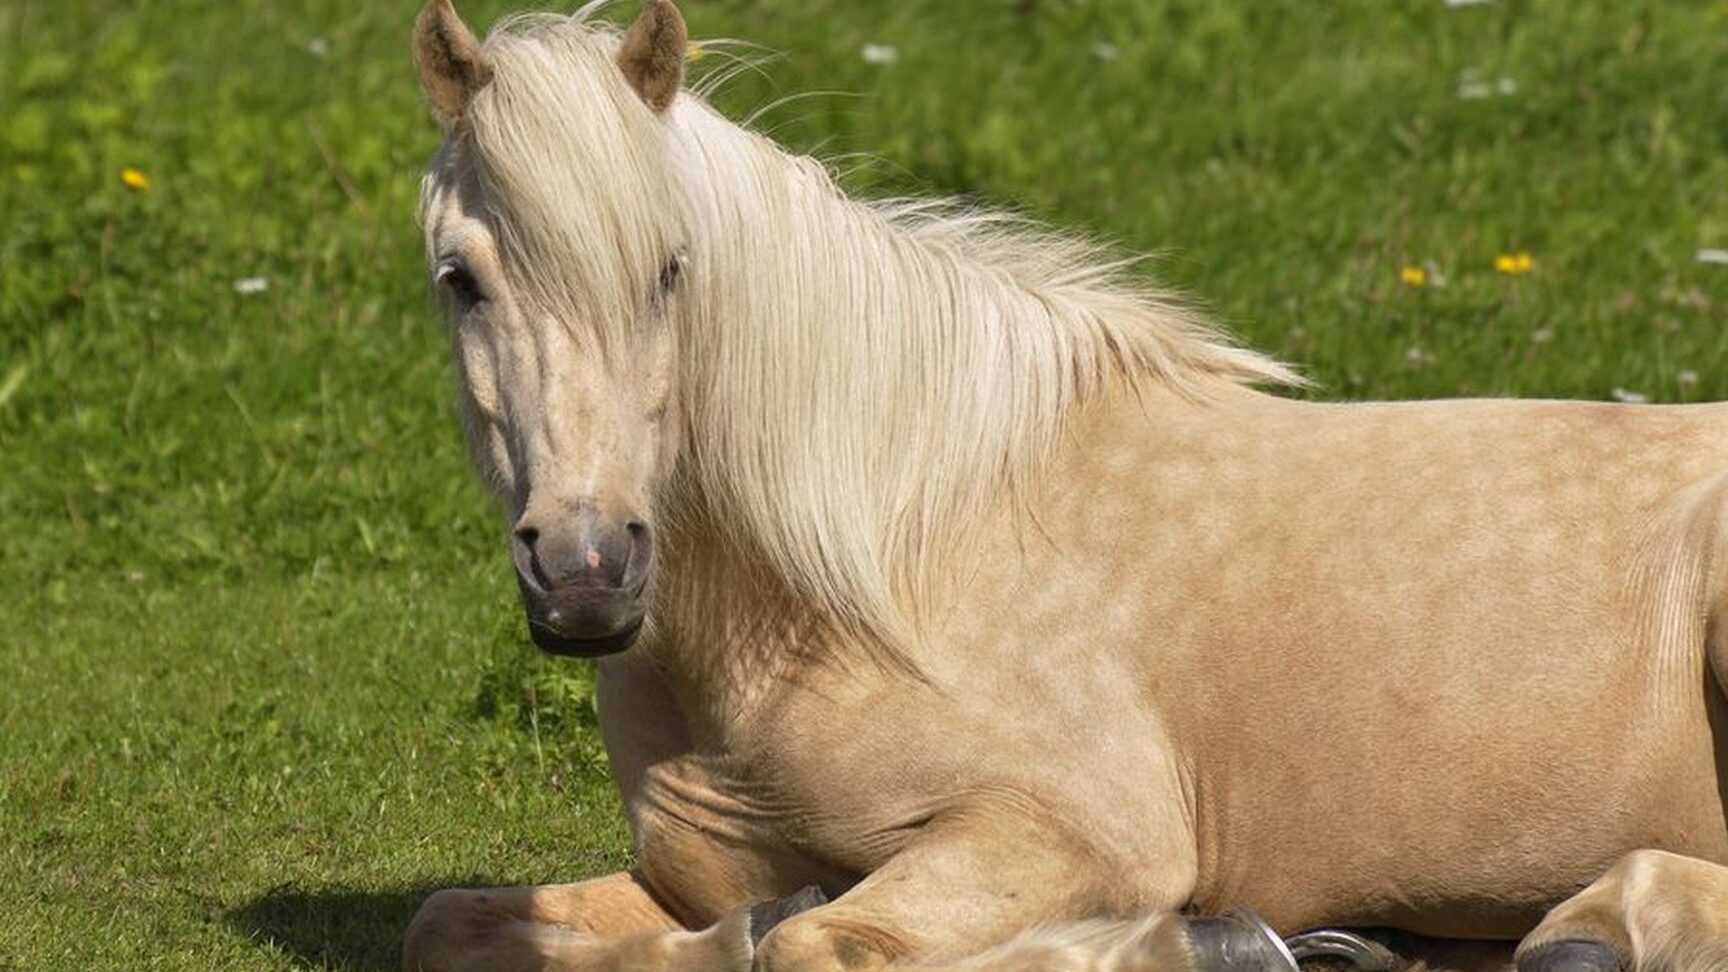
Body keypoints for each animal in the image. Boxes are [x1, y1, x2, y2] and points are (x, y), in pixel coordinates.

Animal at [403, 1, 1728, 970]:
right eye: (458, 279)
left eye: (672, 269)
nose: (587, 571)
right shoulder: (681, 884)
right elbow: (451, 925)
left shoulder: (1065, 837)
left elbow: (817, 944)